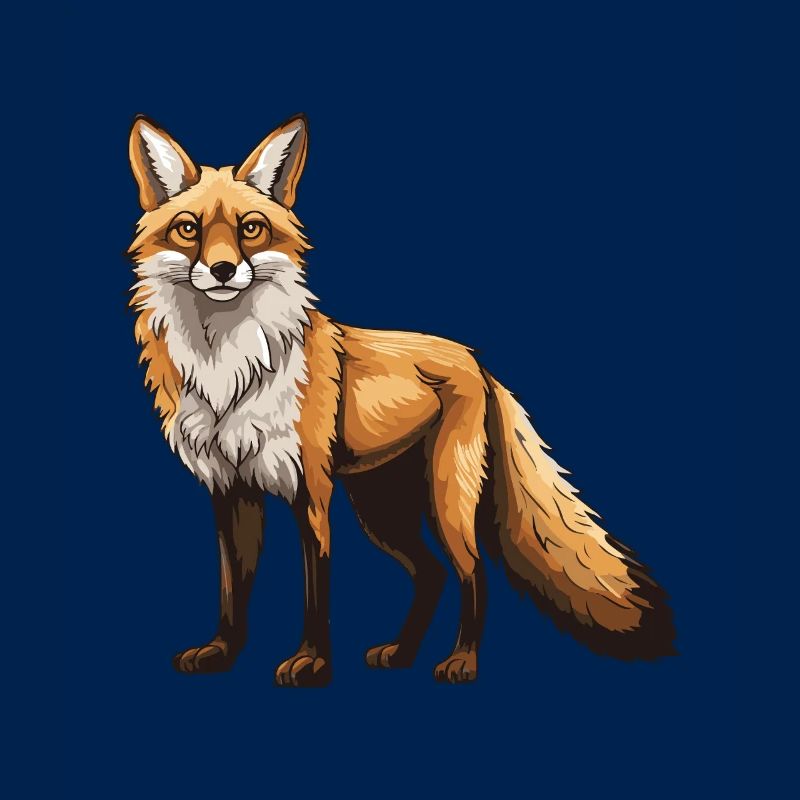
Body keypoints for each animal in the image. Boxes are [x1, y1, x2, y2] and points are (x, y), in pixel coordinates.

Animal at [127, 113, 675, 686]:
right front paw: (221, 652)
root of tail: (477, 360)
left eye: (250, 229)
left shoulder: (311, 491)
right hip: (381, 508)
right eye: (188, 229)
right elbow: (232, 589)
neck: (229, 372)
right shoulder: (230, 489)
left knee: (472, 571)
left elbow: (316, 589)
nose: (223, 271)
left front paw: (312, 661)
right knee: (431, 574)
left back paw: (461, 661)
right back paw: (402, 653)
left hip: (444, 499)